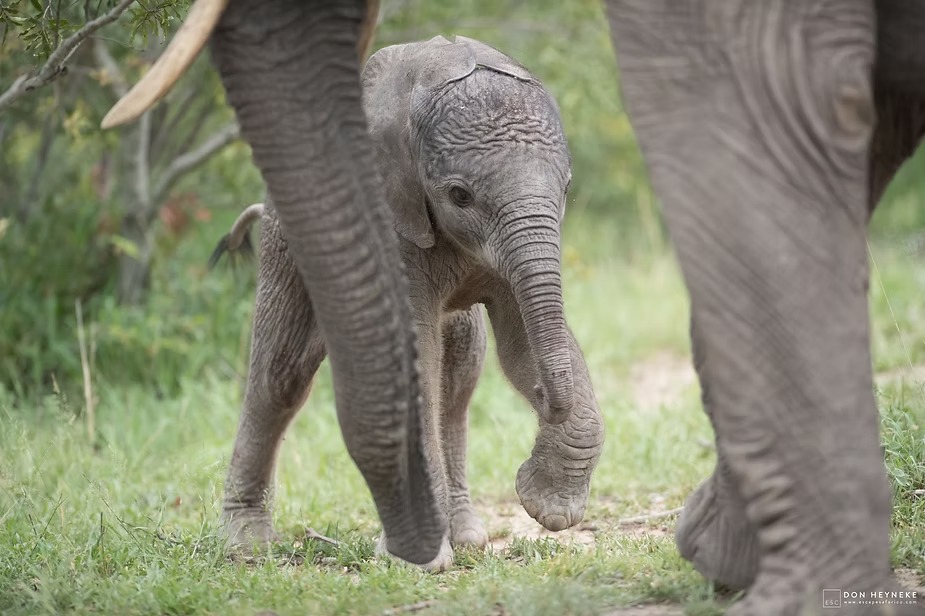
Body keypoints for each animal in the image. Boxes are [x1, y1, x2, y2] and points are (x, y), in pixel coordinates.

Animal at [209, 35, 604, 570]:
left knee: (458, 382)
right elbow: (413, 350)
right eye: (459, 195)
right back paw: (247, 544)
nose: (545, 400)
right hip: (285, 243)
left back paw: (468, 538)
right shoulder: (387, 215)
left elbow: (521, 343)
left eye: (566, 188)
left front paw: (549, 508)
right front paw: (418, 562)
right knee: (281, 376)